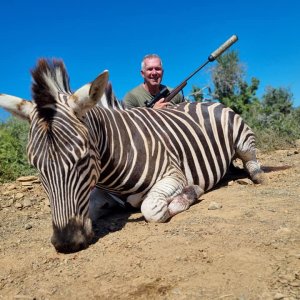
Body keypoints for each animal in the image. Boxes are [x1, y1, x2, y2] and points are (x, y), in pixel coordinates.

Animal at [0, 58, 268, 253]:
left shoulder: (174, 175)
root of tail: (207, 101)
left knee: (252, 163)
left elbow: (152, 208)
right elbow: (90, 208)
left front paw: (189, 193)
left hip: (243, 140)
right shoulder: (98, 194)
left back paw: (253, 176)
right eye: (35, 165)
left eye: (83, 158)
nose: (66, 242)